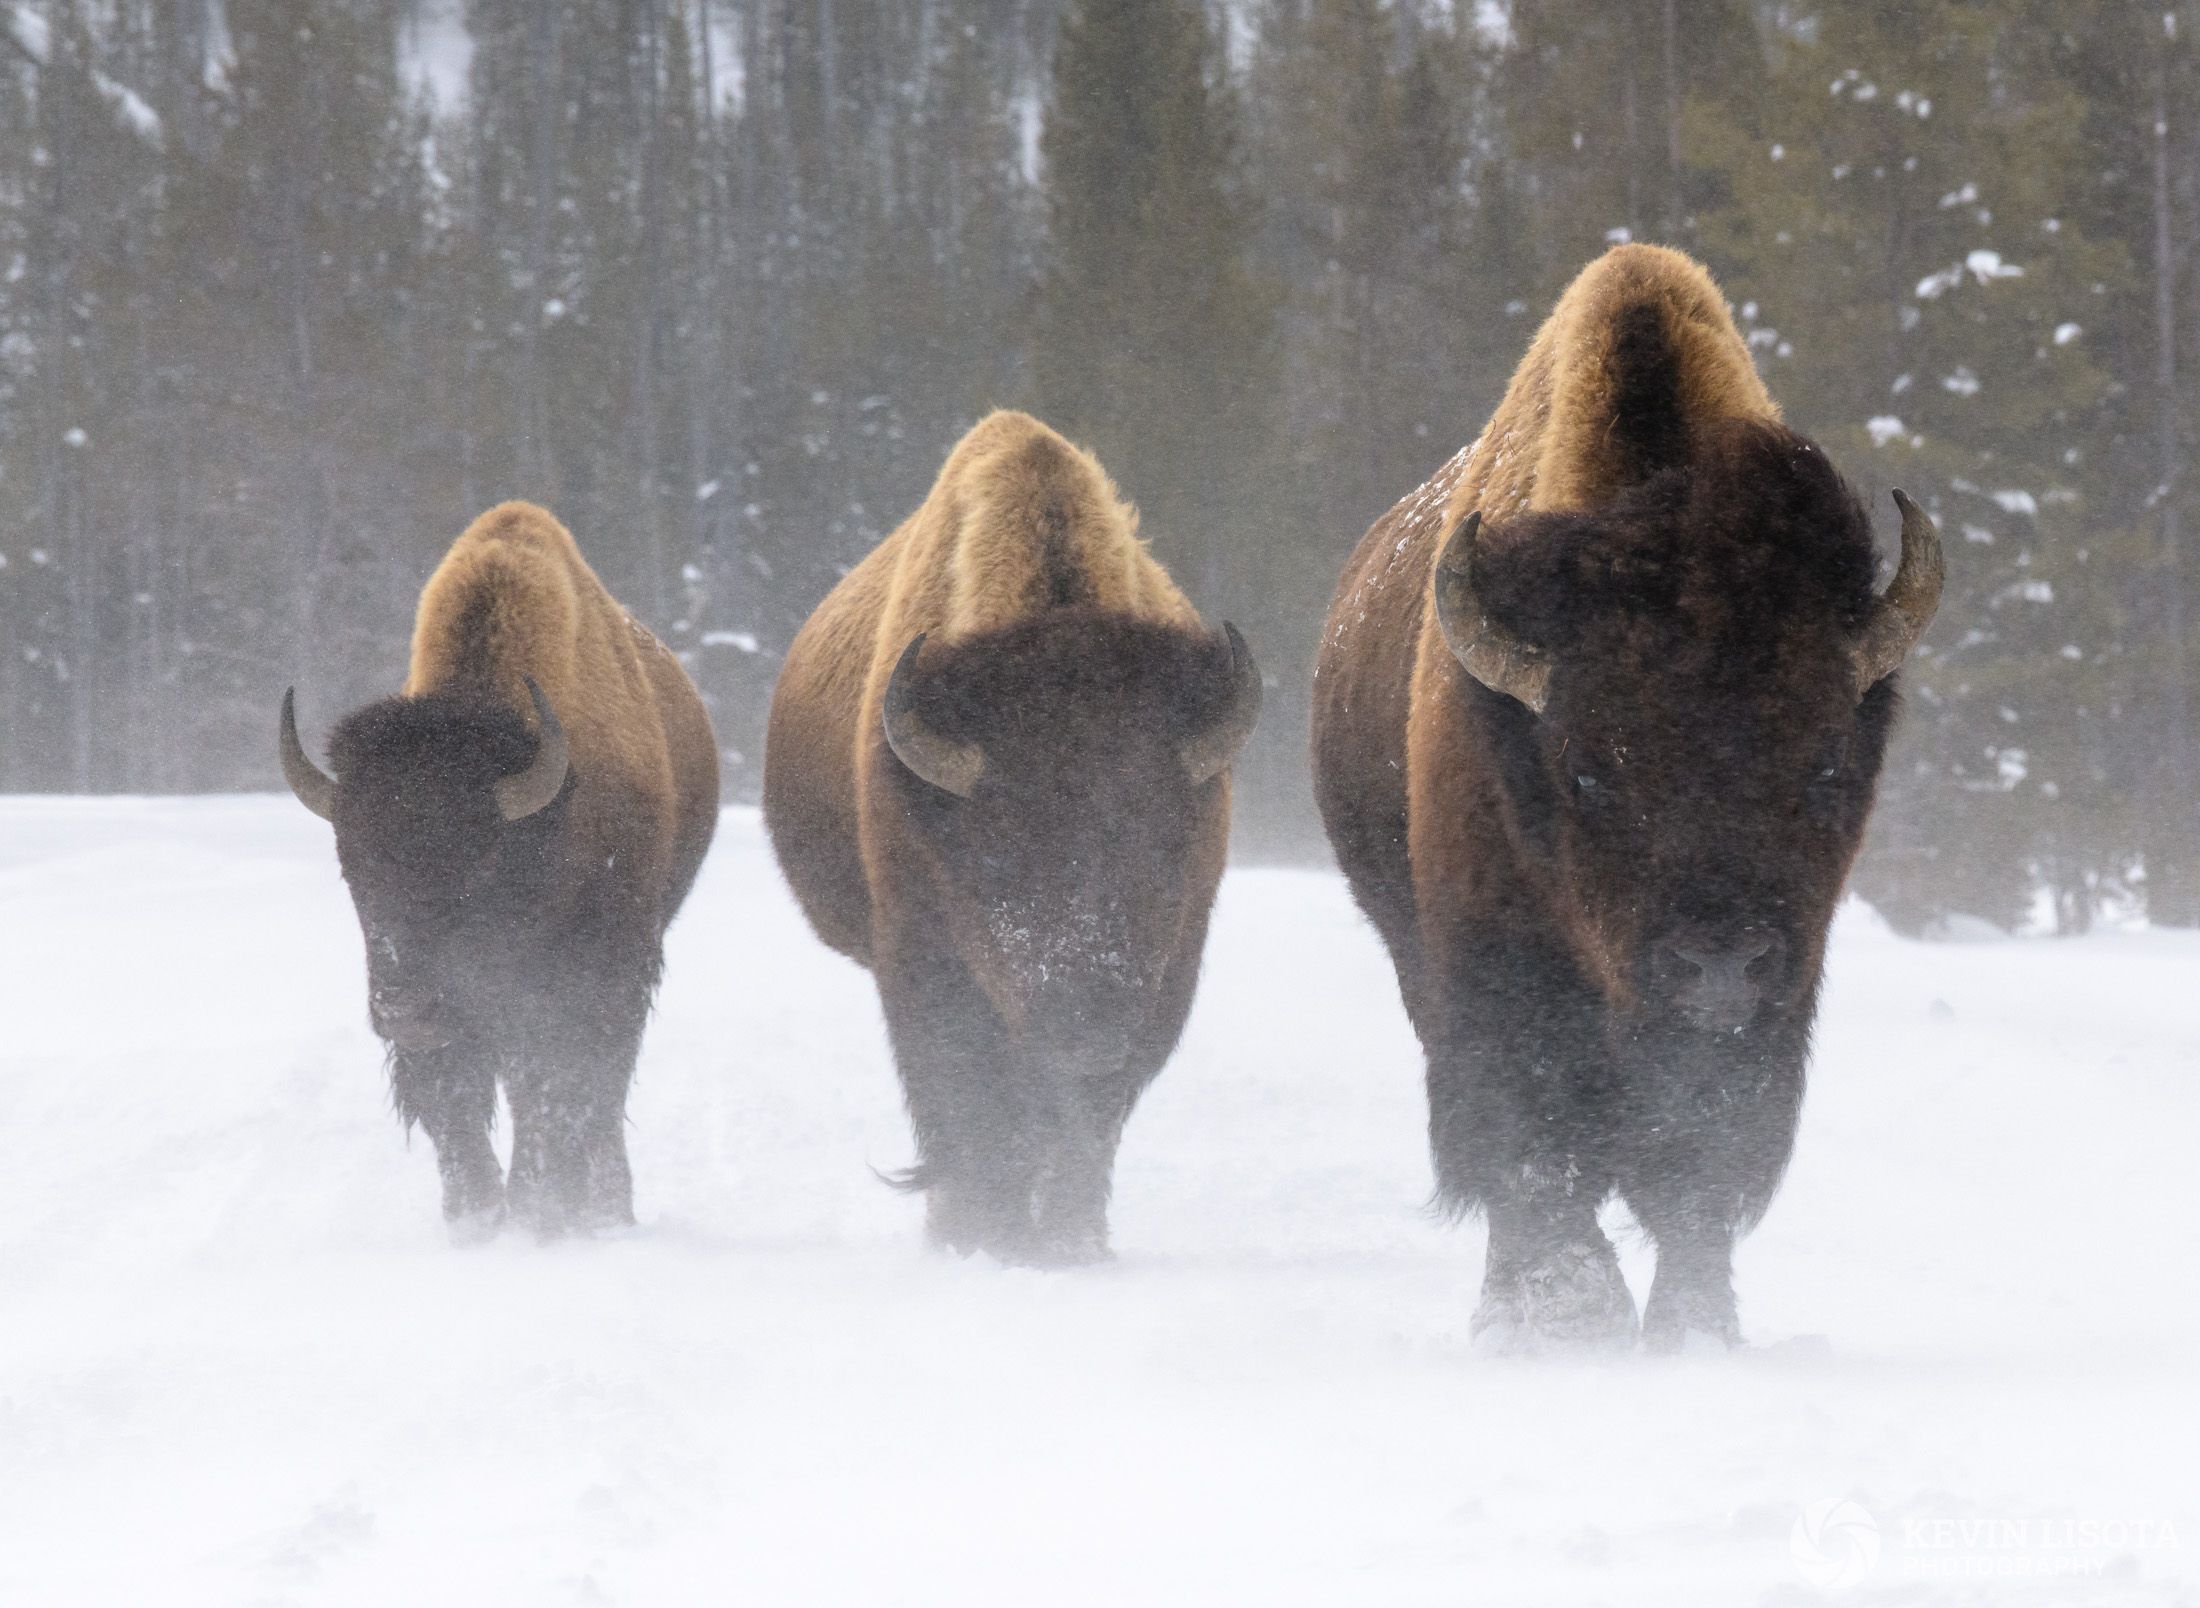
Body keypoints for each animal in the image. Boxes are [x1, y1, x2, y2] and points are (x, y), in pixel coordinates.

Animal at [279, 510, 717, 1240]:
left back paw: (606, 1209)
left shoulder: (594, 975)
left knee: (596, 1095)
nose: (403, 1008)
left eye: (479, 864)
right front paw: (476, 1215)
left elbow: (560, 1089)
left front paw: (543, 1213)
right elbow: (454, 1098)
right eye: (350, 867)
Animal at [770, 409, 1258, 1267]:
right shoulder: (922, 963)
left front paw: (1069, 1243)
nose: (1086, 1021)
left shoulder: (1166, 975)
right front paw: (981, 1235)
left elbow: (1080, 1125)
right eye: (994, 858)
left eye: (1163, 845)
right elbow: (971, 1104)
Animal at [1302, 245, 1944, 1355]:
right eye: (1589, 771)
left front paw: (1695, 1331)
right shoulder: (1498, 971)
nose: (1717, 965)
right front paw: (1566, 1314)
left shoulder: (1773, 1011)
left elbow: (1698, 1164)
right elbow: (1536, 1145)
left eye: (1826, 765)